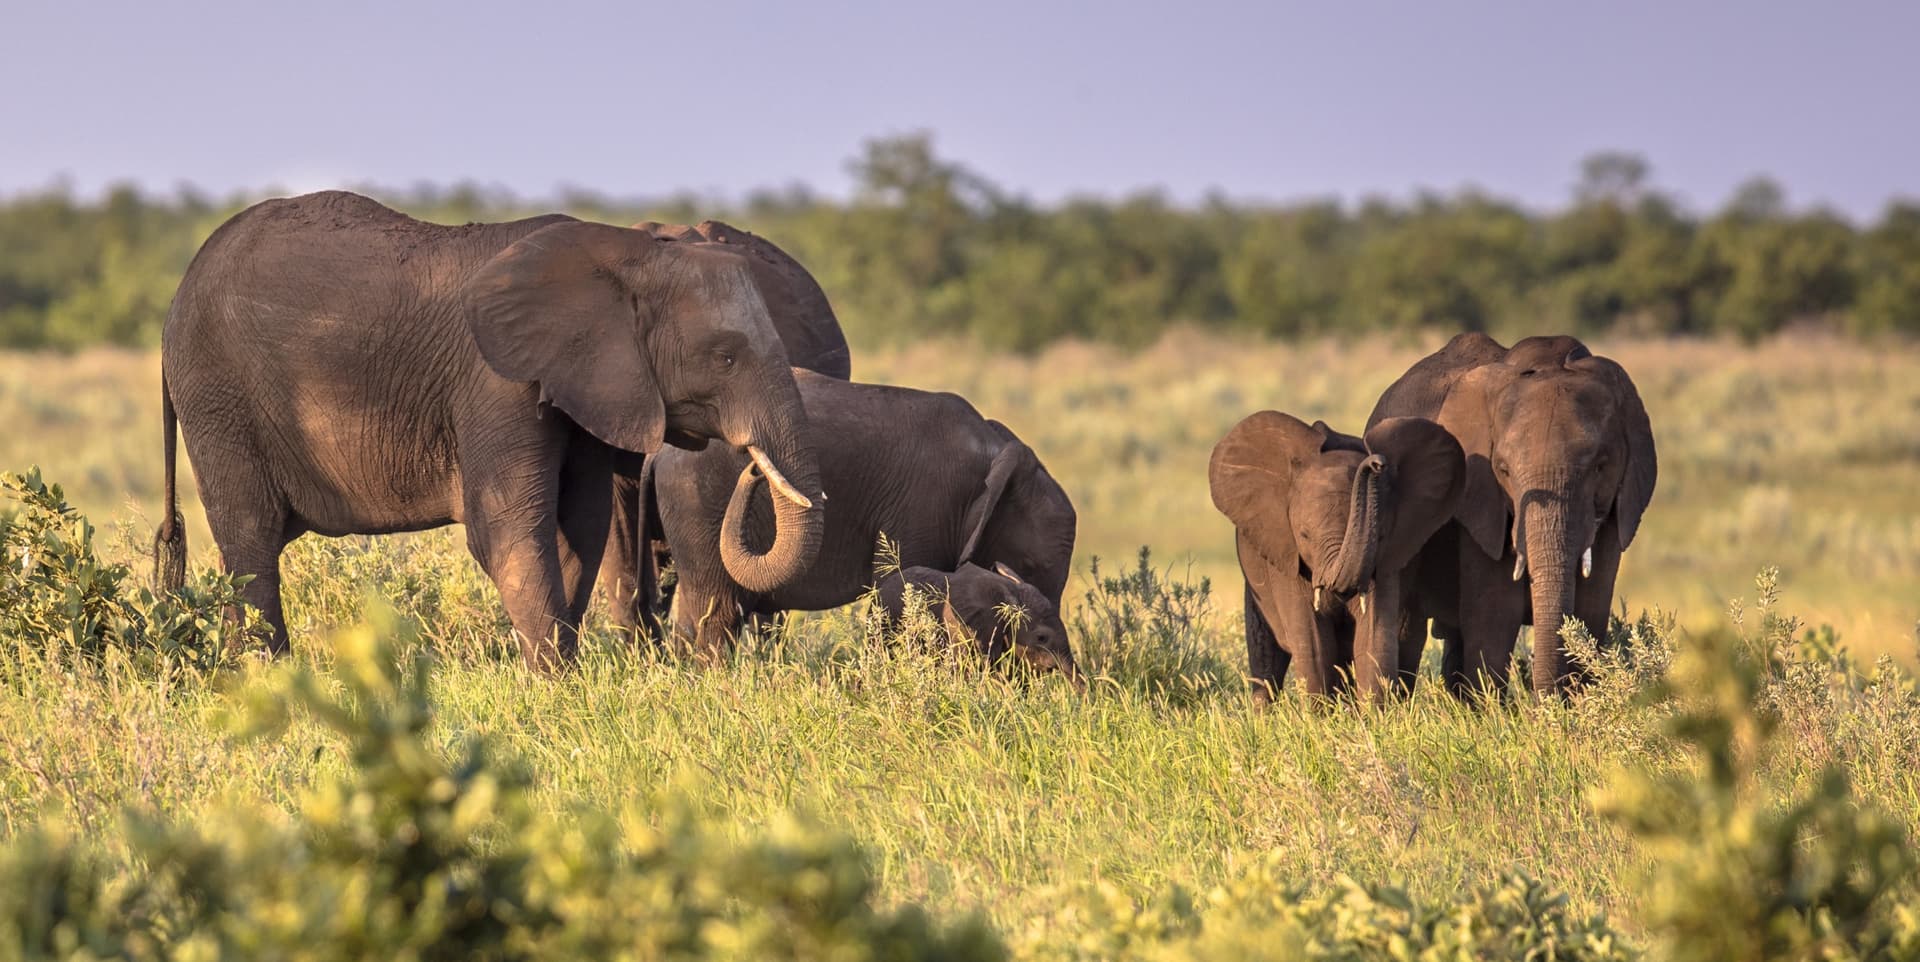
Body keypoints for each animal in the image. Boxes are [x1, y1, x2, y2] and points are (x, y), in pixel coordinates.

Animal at [647, 369, 1077, 661]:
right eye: (1027, 565)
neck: (995, 448)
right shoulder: (924, 503)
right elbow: (906, 584)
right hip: (697, 500)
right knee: (715, 613)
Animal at [1209, 412, 1463, 701]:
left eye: (1381, 536)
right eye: (1304, 535)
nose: (1377, 463)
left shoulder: (1386, 560)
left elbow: (1373, 638)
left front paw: (1374, 713)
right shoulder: (1288, 558)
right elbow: (1313, 644)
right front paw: (1321, 713)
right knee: (1265, 655)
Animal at [1367, 333, 1657, 695]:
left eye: (1600, 466)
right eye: (1503, 469)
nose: (1541, 702)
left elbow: (1591, 613)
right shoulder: (1479, 500)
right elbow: (1495, 616)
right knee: (1406, 629)